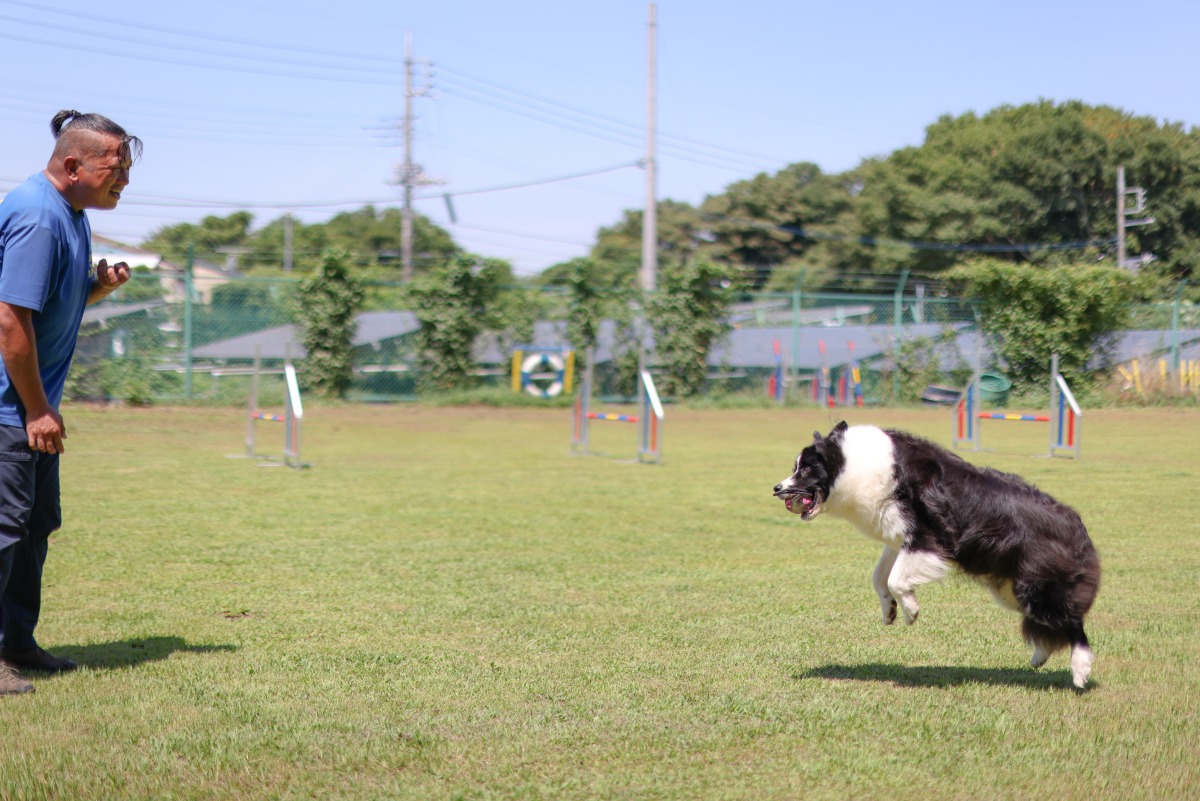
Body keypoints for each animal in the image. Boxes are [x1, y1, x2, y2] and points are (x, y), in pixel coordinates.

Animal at [772, 419, 1099, 690]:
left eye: (807, 469)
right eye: (796, 466)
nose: (776, 488)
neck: (855, 467)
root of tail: (1078, 525)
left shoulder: (928, 537)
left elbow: (896, 579)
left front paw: (911, 610)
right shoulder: (898, 537)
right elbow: (879, 577)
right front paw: (889, 610)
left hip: (1038, 585)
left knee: (1072, 625)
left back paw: (1080, 672)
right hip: (1011, 590)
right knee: (1048, 624)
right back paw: (1039, 657)